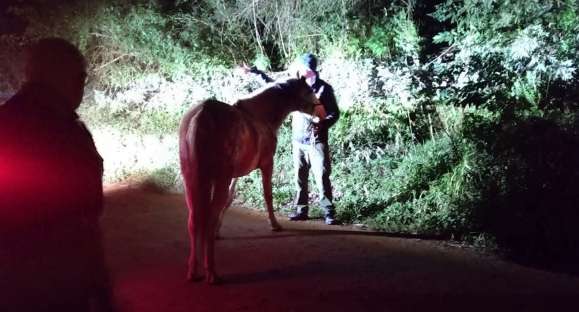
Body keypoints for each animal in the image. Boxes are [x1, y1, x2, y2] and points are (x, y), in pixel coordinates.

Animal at [180, 77, 320, 284]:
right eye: (309, 91)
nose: (321, 111)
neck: (260, 116)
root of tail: (203, 114)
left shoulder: (233, 176)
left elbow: (229, 200)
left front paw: (219, 231)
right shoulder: (267, 164)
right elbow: (268, 195)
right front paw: (274, 224)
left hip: (192, 179)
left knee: (194, 220)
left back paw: (192, 270)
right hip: (217, 178)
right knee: (207, 220)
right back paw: (211, 272)